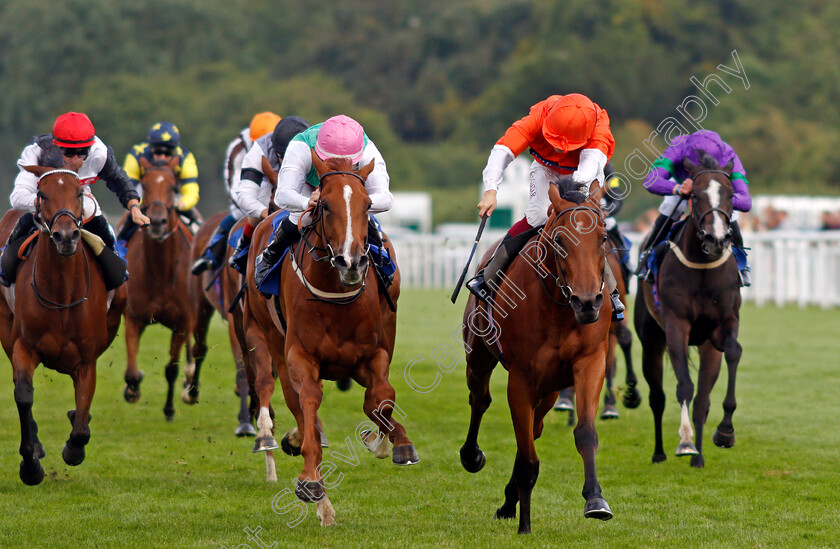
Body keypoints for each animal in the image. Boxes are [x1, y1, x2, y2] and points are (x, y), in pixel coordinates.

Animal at [0, 167, 126, 484]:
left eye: (79, 193)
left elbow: (81, 418)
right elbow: (23, 395)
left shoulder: (87, 360)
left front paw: (74, 448)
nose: (66, 236)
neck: (61, 293)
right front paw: (30, 465)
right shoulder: (24, 346)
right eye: (43, 194)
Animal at [121, 156, 195, 422]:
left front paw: (169, 408)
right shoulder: (134, 317)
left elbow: (171, 368)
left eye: (174, 187)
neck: (161, 273)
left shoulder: (183, 321)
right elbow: (132, 371)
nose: (157, 222)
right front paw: (132, 388)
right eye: (144, 184)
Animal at [241, 151, 416, 528]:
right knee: (292, 400)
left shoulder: (374, 354)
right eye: (324, 205)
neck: (336, 295)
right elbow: (308, 404)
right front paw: (310, 481)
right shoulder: (300, 356)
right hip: (269, 338)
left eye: (368, 205)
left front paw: (389, 443)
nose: (351, 261)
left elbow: (382, 399)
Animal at [462, 178, 612, 532]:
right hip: (479, 356)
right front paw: (525, 525)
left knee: (535, 427)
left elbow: (585, 433)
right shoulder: (521, 377)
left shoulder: (590, 362)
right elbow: (528, 456)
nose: (588, 302)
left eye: (603, 238)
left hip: (551, 387)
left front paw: (595, 499)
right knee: (480, 399)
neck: (558, 307)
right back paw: (472, 456)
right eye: (559, 240)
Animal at [632, 150, 744, 466]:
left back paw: (699, 458)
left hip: (706, 347)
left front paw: (725, 432)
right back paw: (660, 453)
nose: (716, 239)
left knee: (702, 401)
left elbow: (733, 352)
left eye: (731, 194)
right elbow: (683, 385)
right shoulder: (676, 325)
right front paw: (684, 441)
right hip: (651, 340)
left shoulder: (723, 324)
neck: (703, 268)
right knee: (657, 397)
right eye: (694, 194)